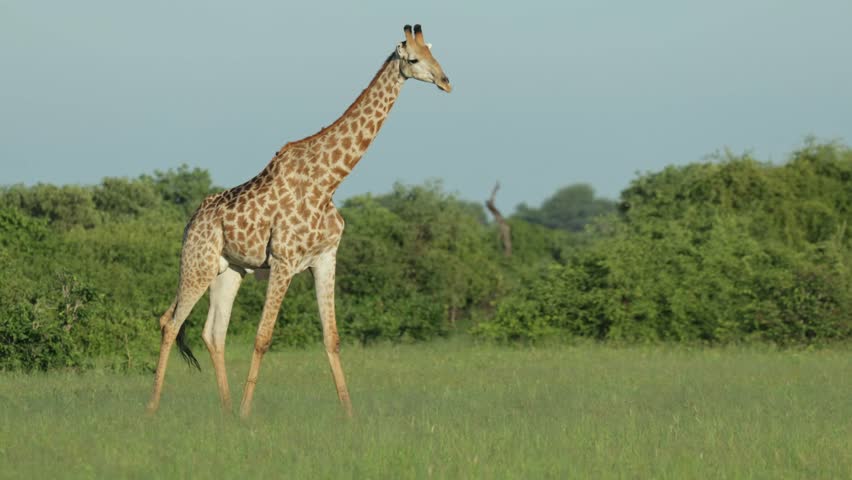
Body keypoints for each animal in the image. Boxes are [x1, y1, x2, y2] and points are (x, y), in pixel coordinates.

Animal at [146, 24, 451, 418]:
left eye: (433, 53)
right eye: (413, 59)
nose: (445, 81)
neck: (329, 181)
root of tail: (191, 222)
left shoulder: (325, 258)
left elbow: (332, 337)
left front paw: (349, 414)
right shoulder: (283, 260)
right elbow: (263, 338)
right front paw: (246, 413)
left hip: (229, 270)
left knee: (213, 332)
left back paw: (224, 410)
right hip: (196, 264)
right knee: (170, 322)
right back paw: (153, 406)